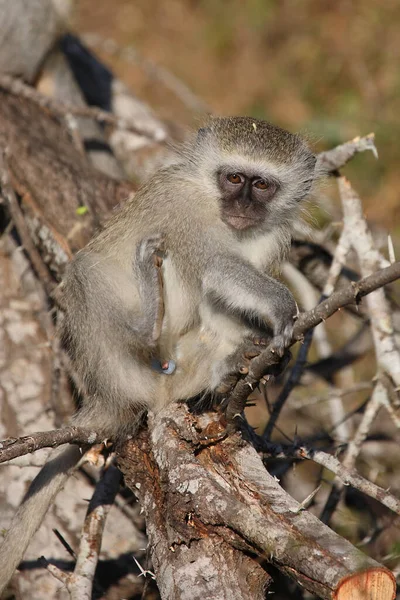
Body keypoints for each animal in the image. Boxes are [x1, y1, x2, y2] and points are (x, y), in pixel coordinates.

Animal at [0, 116, 316, 592]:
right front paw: (282, 310)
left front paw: (265, 352)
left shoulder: (271, 234)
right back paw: (149, 321)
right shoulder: (188, 213)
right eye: (233, 178)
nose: (242, 205)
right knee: (88, 273)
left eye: (261, 185)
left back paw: (228, 368)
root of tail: (106, 395)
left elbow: (224, 292)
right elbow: (216, 266)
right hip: (113, 358)